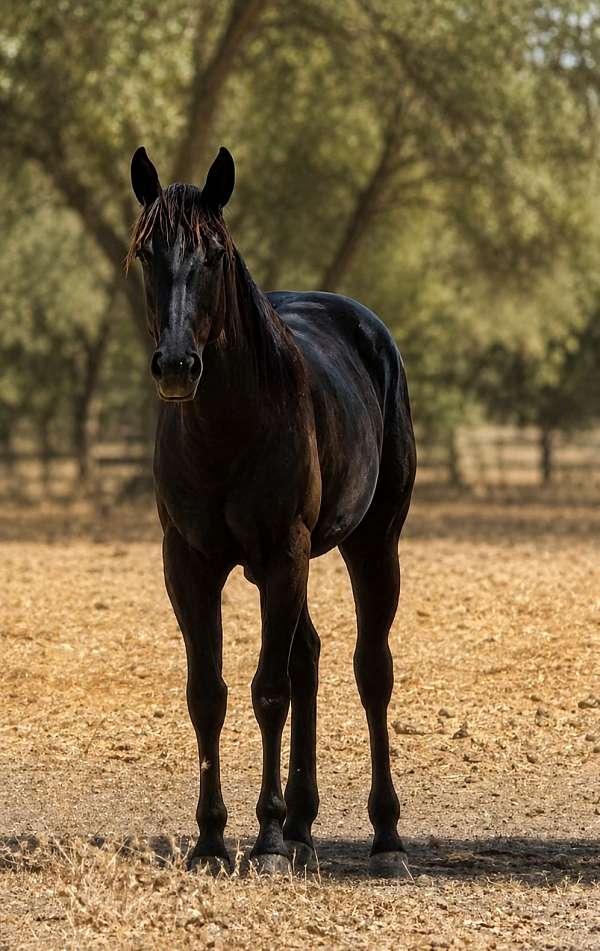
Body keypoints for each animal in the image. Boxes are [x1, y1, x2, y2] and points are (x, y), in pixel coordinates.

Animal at [127, 145, 417, 876]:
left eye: (214, 254)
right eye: (146, 252)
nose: (177, 366)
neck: (229, 428)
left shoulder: (284, 554)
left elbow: (269, 690)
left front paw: (263, 840)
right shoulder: (189, 564)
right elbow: (209, 692)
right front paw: (210, 839)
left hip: (373, 544)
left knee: (370, 671)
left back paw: (384, 837)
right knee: (308, 656)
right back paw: (304, 827)